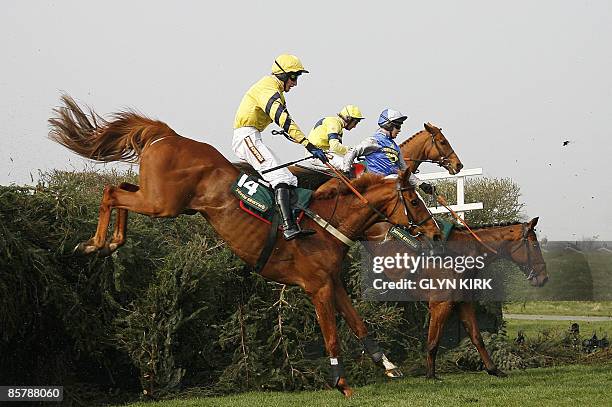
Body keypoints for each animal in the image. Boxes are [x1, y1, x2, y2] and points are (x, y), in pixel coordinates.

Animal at [47, 95, 440, 396]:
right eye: (414, 200)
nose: (435, 234)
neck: (328, 223)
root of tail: (169, 135)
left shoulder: (333, 282)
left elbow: (359, 324)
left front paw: (386, 364)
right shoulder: (317, 288)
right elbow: (332, 337)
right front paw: (341, 383)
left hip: (163, 199)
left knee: (121, 189)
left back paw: (110, 242)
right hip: (163, 203)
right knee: (111, 192)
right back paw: (96, 243)